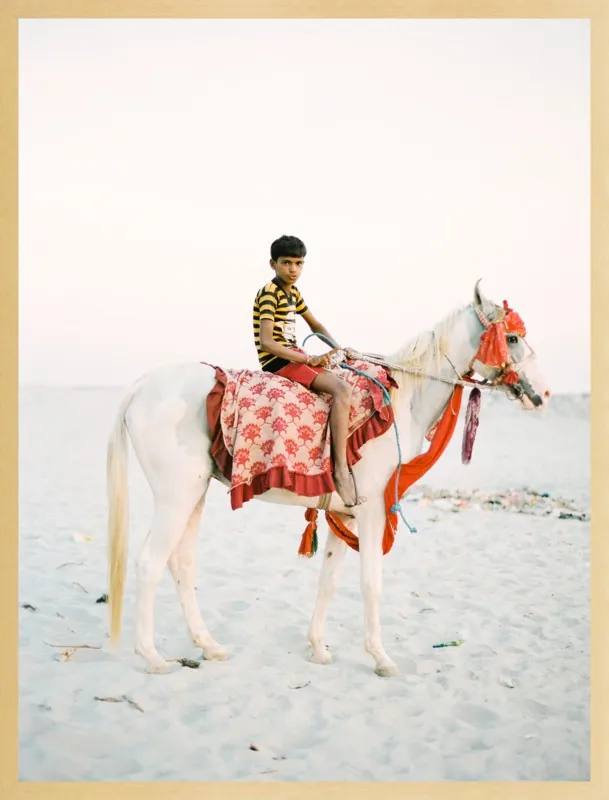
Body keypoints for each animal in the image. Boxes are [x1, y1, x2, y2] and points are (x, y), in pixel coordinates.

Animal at [106, 281, 551, 677]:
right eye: (512, 337)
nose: (543, 395)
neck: (401, 400)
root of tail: (140, 388)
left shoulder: (345, 514)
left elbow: (329, 581)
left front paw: (319, 648)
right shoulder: (371, 513)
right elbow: (371, 583)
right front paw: (381, 658)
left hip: (193, 494)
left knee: (180, 563)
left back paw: (209, 646)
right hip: (177, 496)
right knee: (149, 563)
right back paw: (152, 657)